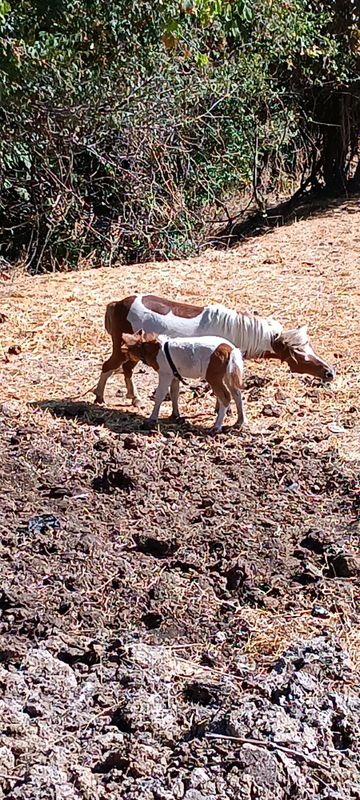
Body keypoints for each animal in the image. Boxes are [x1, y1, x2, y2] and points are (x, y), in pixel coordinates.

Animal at [93, 294, 334, 406]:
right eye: (300, 355)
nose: (329, 372)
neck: (235, 331)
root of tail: (118, 304)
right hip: (121, 351)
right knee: (108, 367)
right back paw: (99, 398)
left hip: (131, 353)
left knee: (126, 371)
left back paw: (135, 399)